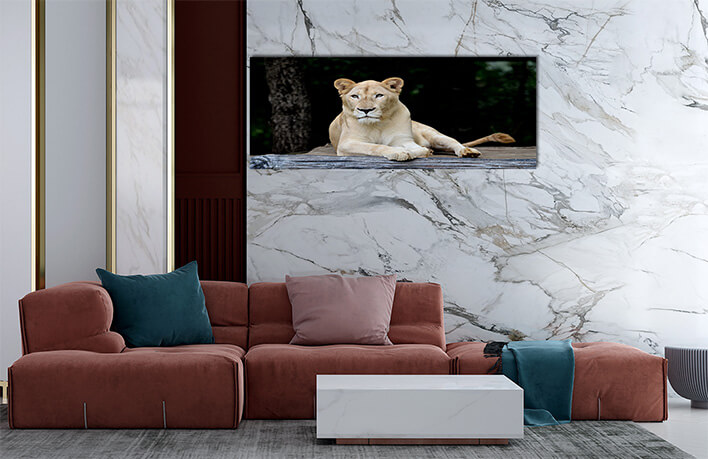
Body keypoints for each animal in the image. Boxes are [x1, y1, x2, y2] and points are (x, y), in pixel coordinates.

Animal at [329, 77, 515, 161]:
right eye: (355, 96)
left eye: (379, 95)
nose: (365, 110)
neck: (378, 124)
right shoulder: (347, 144)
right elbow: (375, 147)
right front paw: (399, 152)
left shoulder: (403, 139)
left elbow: (414, 148)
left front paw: (415, 151)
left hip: (435, 135)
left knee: (454, 143)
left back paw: (467, 151)